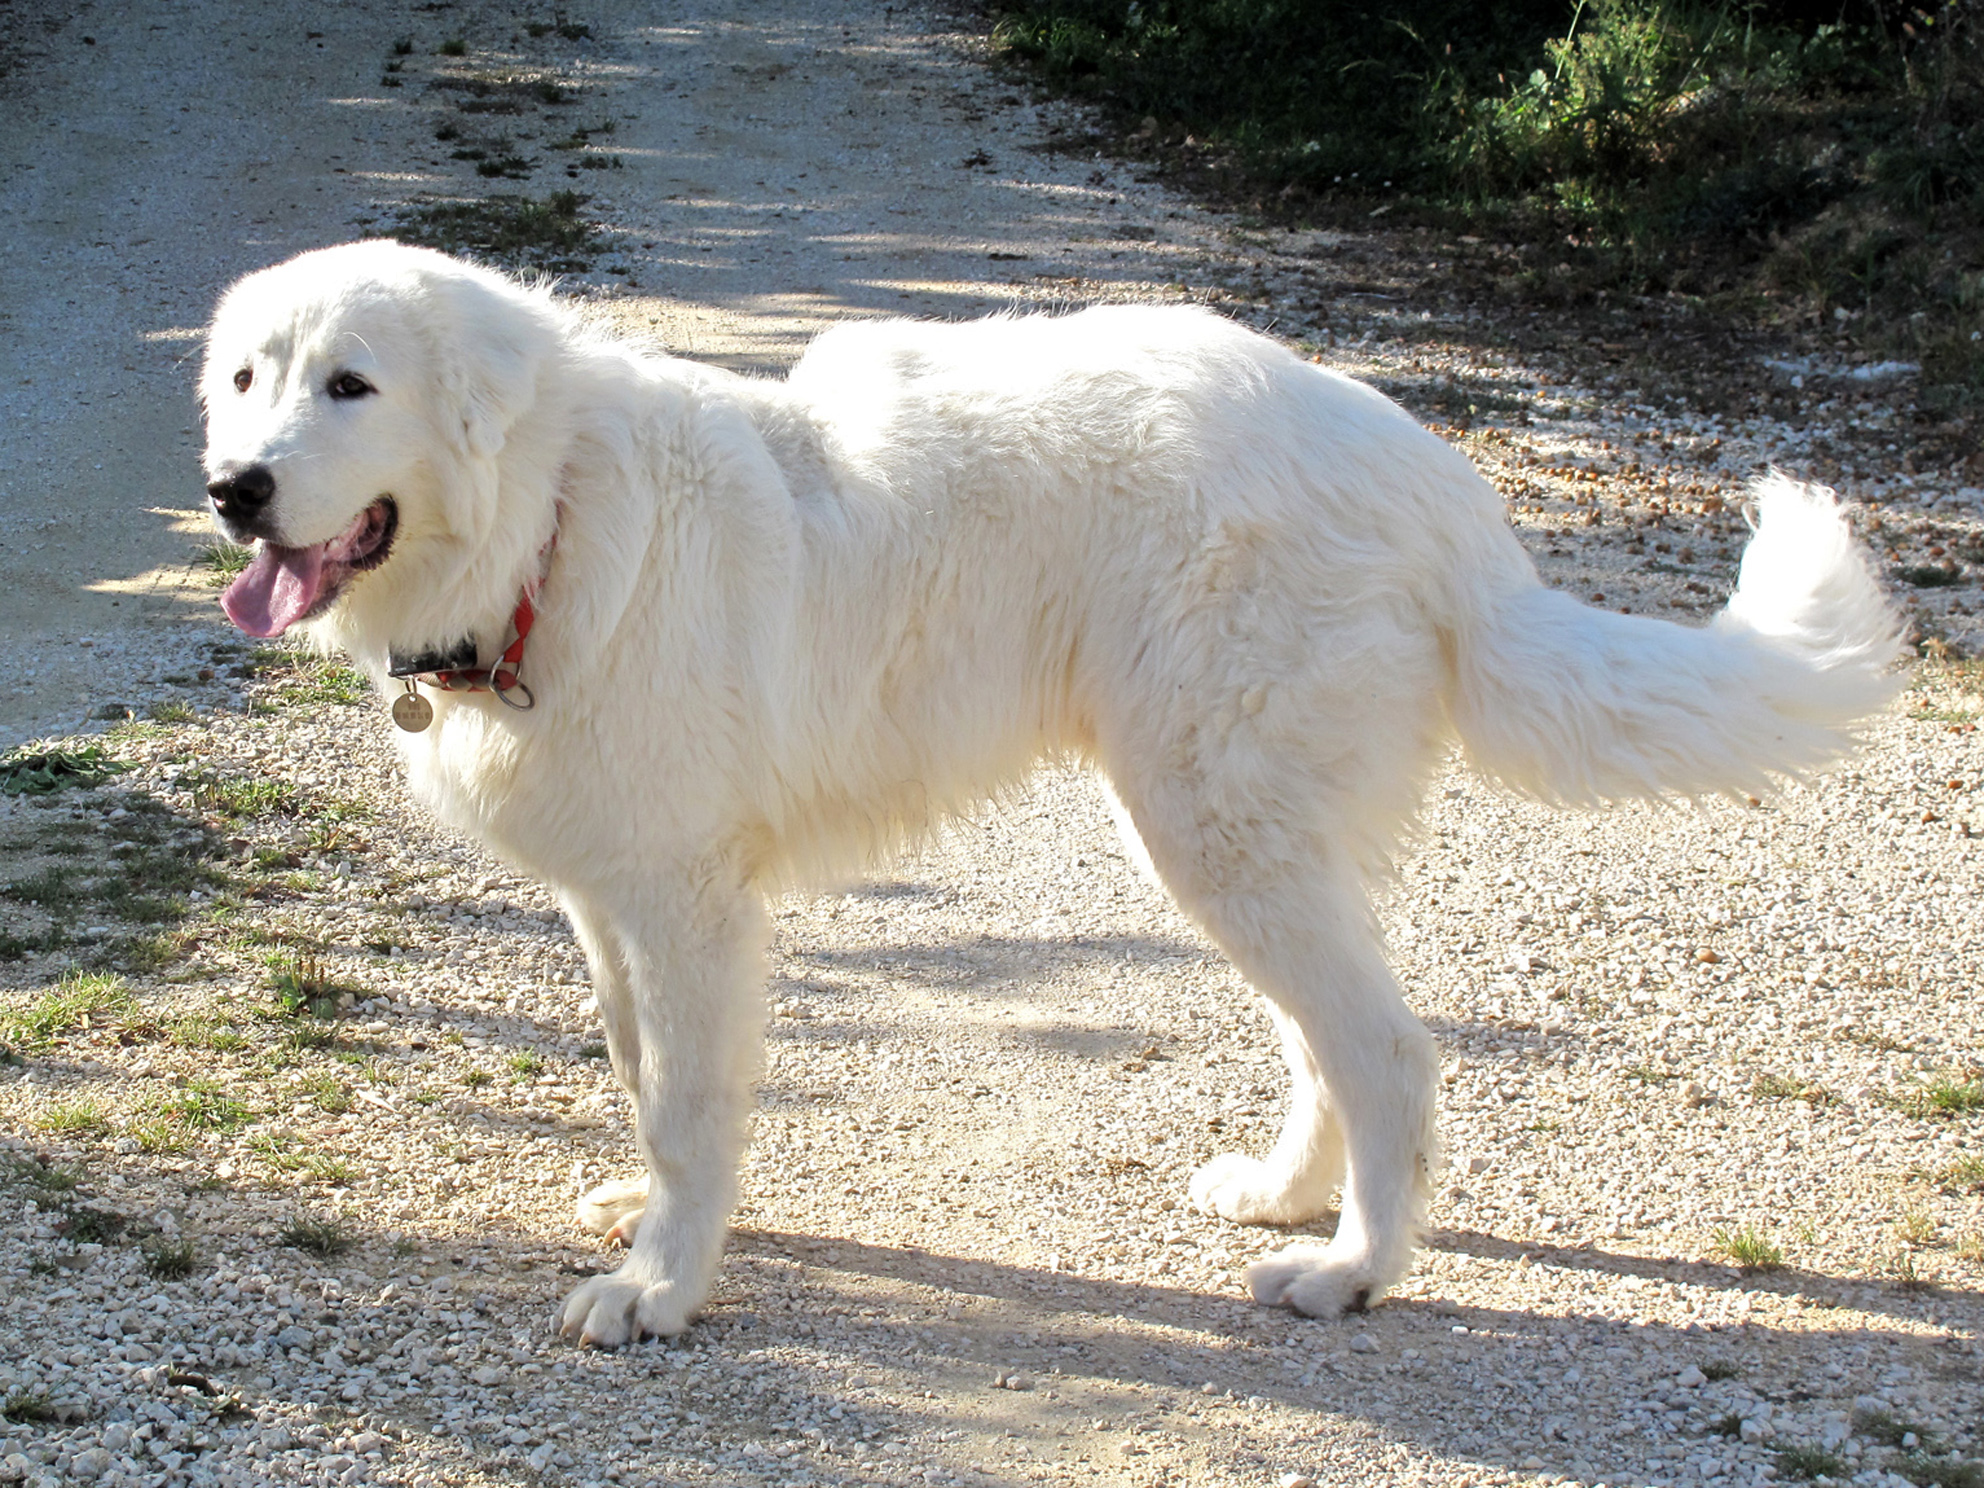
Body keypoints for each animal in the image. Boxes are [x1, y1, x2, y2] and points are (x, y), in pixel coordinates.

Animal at [197, 239, 1888, 1349]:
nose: (233, 489)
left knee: (1393, 1053)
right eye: (247, 378)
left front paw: (663, 1289)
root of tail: (1428, 478)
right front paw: (652, 1227)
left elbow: (687, 1106)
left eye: (351, 385)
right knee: (1330, 1041)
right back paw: (1288, 1200)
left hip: (1214, 821)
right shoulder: (614, 901)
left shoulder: (687, 906)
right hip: (1239, 835)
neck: (547, 517)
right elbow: (642, 1075)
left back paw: (1351, 1273)